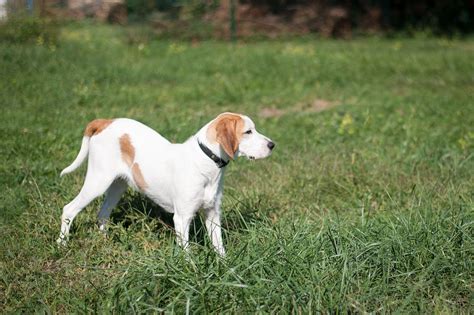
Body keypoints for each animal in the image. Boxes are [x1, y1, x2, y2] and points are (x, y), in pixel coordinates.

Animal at [57, 113, 276, 256]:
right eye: (248, 132)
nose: (272, 144)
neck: (205, 162)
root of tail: (105, 122)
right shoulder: (182, 218)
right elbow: (186, 253)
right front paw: (192, 273)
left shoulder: (213, 214)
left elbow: (219, 246)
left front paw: (225, 269)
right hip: (98, 181)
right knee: (69, 209)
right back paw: (62, 244)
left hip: (117, 186)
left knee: (102, 214)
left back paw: (104, 241)